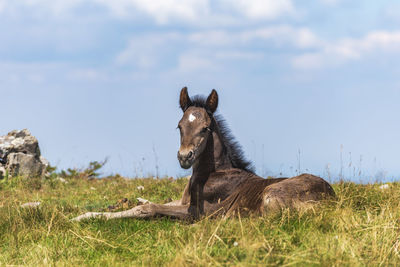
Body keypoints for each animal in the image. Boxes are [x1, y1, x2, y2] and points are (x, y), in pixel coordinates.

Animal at [72, 88, 334, 222]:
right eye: (179, 126)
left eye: (206, 128)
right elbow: (148, 202)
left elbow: (149, 208)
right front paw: (85, 214)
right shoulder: (184, 201)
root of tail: (331, 198)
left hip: (270, 194)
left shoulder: (198, 211)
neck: (213, 173)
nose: (184, 157)